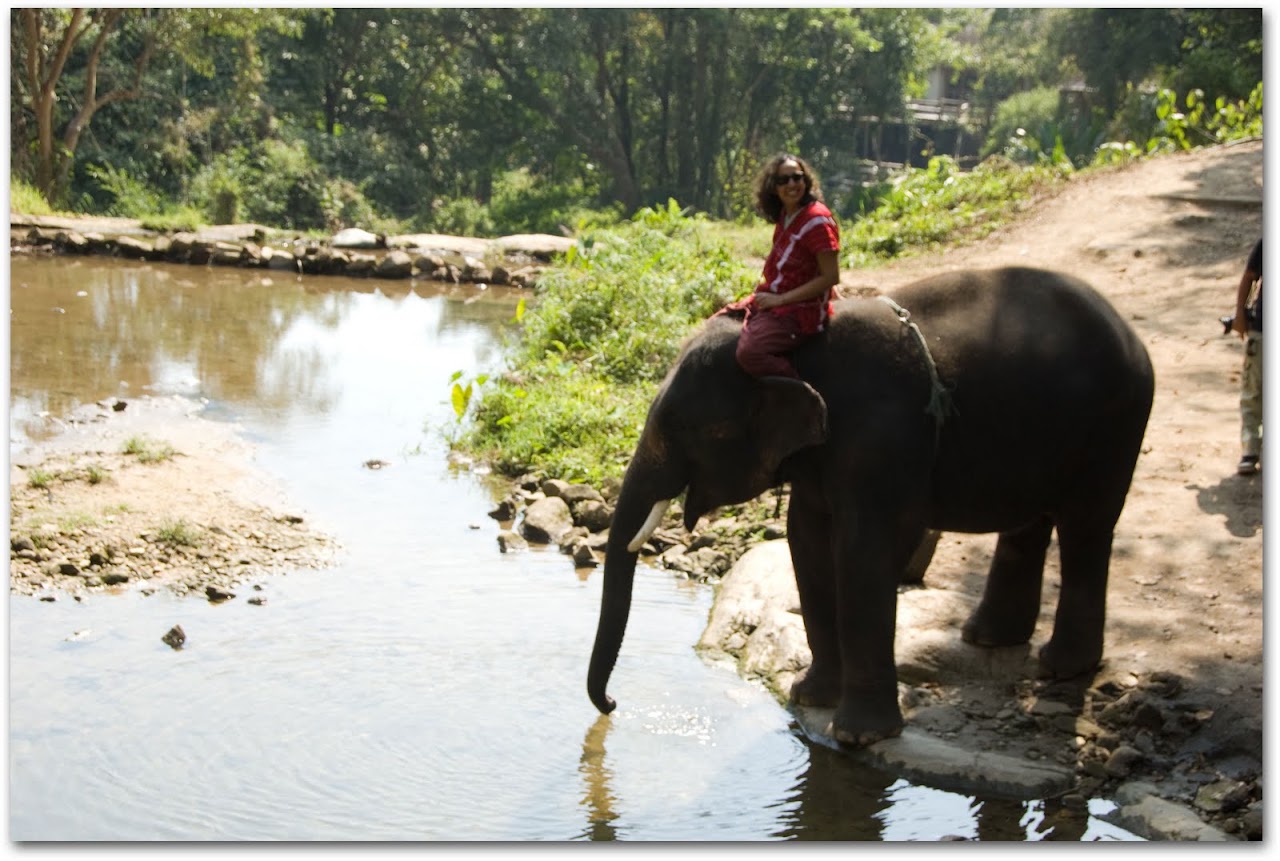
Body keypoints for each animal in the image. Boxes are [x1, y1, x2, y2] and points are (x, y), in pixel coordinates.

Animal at [587, 266, 1154, 747]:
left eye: (689, 428)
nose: (613, 703)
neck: (795, 349)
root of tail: (1127, 330)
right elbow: (806, 540)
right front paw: (808, 696)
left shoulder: (883, 438)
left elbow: (865, 549)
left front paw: (858, 736)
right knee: (1031, 523)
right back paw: (988, 638)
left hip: (1116, 424)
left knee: (1086, 526)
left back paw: (1061, 667)